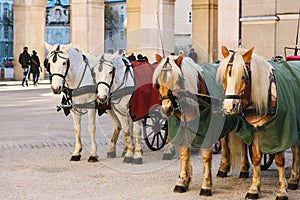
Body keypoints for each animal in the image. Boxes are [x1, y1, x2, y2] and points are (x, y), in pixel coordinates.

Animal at [152, 54, 248, 196]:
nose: (166, 109)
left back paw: (244, 169)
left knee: (243, 143)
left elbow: (206, 156)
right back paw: (223, 168)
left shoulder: (207, 129)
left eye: (177, 79)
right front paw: (182, 181)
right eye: (158, 82)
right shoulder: (184, 129)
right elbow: (184, 153)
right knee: (224, 142)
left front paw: (206, 185)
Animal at [218, 45, 300, 200]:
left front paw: (282, 190)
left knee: (295, 149)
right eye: (224, 77)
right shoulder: (255, 129)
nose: (229, 107)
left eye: (243, 76)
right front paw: (254, 188)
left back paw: (293, 179)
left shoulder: (279, 130)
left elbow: (279, 160)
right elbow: (256, 158)